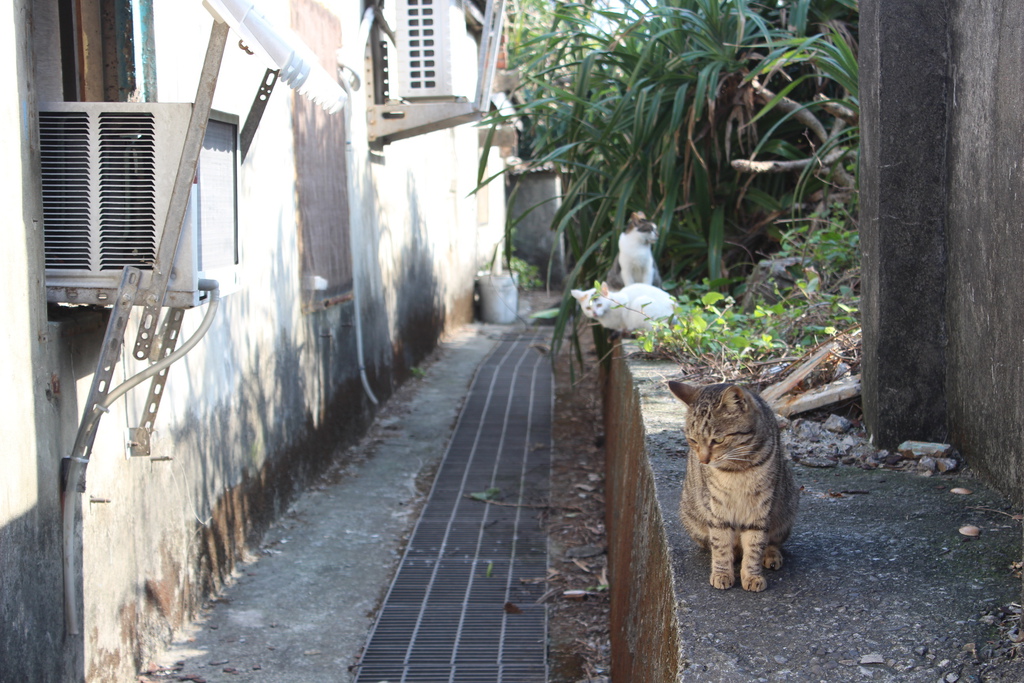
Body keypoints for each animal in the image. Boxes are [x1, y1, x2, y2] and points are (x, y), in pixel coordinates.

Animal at [667, 382, 802, 589]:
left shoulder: (761, 505)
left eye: (718, 440)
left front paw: (752, 575)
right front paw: (722, 573)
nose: (703, 460)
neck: (738, 469)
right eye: (693, 440)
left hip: (787, 508)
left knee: (772, 541)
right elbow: (721, 543)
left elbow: (755, 544)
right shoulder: (716, 507)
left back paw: (771, 555)